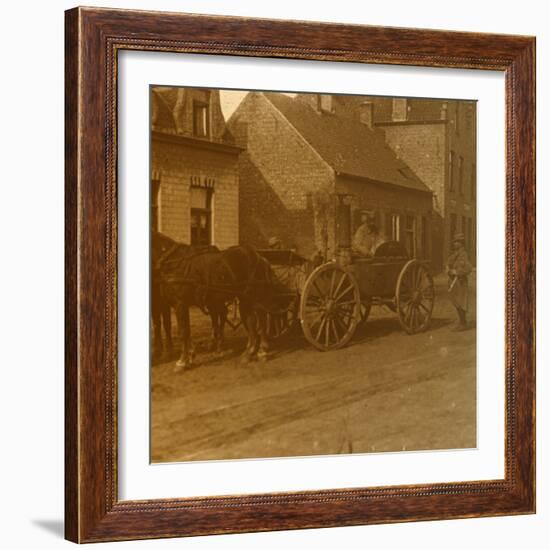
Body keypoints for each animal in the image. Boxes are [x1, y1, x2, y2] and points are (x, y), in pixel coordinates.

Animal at [153, 231, 278, 374]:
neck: (174, 263)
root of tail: (260, 257)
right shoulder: (178, 305)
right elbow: (186, 331)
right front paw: (189, 358)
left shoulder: (180, 304)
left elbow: (183, 332)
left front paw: (182, 362)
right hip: (244, 299)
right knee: (251, 321)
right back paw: (249, 353)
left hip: (255, 297)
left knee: (261, 321)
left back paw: (263, 351)